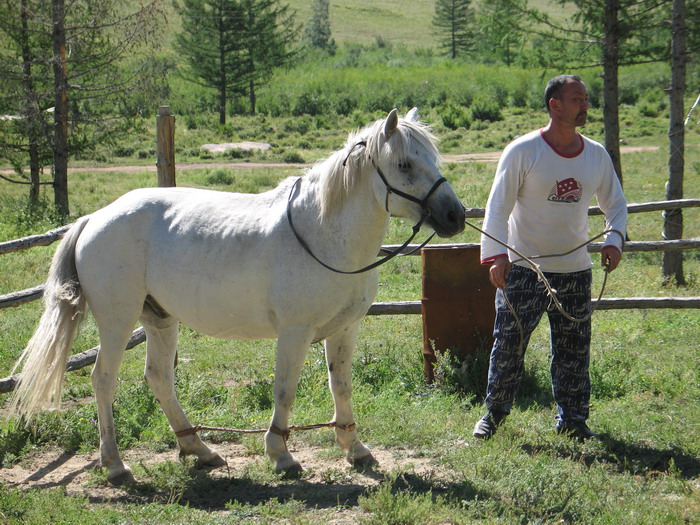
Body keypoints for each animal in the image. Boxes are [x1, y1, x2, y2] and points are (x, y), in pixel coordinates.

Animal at [10, 108, 466, 485]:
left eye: (433, 160)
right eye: (404, 165)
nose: (456, 216)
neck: (324, 233)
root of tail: (94, 218)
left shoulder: (344, 330)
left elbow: (342, 387)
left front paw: (355, 449)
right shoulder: (295, 333)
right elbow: (285, 390)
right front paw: (281, 456)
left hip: (160, 320)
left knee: (159, 378)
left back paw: (199, 449)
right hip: (118, 321)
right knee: (102, 380)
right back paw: (116, 465)